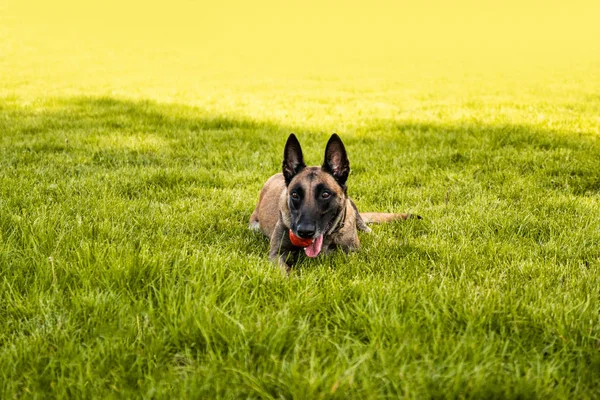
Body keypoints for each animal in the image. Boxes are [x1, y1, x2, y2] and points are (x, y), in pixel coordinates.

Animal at [250, 134, 418, 272]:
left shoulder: (354, 253)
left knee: (368, 230)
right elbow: (285, 271)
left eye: (325, 194)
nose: (304, 232)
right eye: (295, 195)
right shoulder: (276, 255)